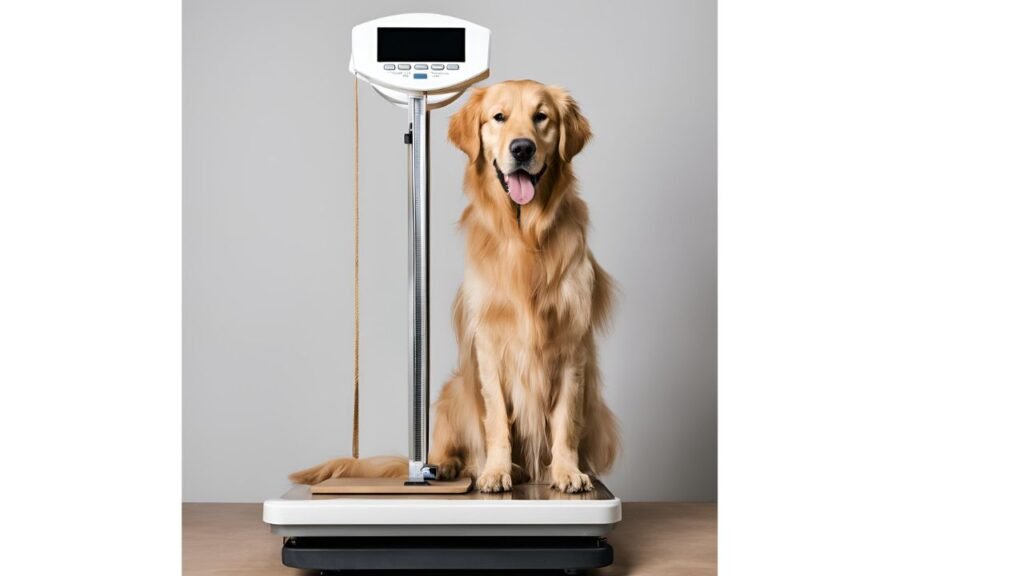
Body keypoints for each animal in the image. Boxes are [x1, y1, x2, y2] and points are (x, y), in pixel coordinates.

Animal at [292, 79, 618, 494]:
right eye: (499, 117)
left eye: (541, 117)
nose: (522, 148)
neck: (524, 237)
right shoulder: (490, 346)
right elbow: (496, 419)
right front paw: (496, 470)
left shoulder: (571, 345)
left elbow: (565, 420)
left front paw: (567, 471)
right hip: (453, 390)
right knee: (449, 450)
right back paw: (448, 469)